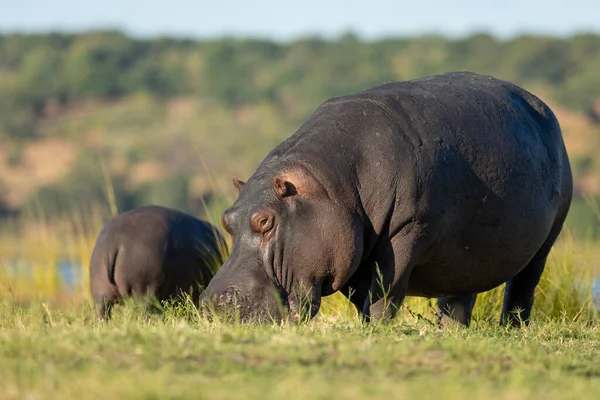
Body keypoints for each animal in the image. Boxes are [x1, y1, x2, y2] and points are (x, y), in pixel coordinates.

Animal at [200, 72, 572, 326]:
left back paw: (512, 328)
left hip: (544, 244)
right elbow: (361, 297)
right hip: (465, 254)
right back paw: (450, 332)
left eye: (265, 220)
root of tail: (542, 106)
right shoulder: (352, 252)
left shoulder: (407, 231)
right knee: (458, 297)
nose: (212, 302)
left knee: (522, 288)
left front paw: (377, 329)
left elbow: (384, 291)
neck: (328, 187)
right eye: (227, 218)